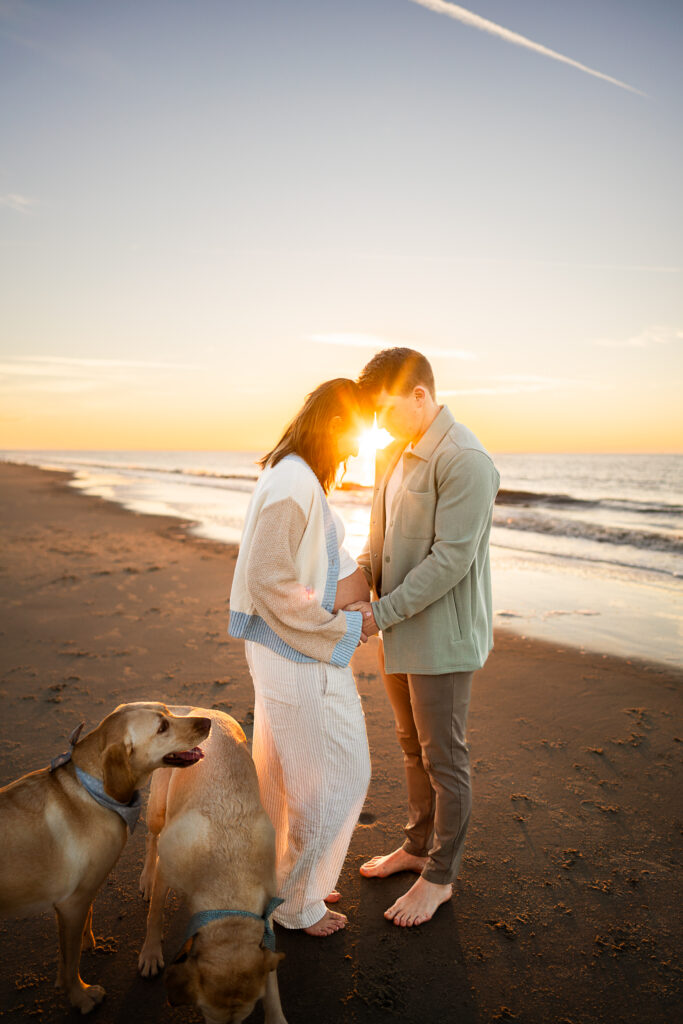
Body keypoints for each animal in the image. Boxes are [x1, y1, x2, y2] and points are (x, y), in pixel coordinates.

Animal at [0, 700, 210, 1011]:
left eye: (168, 711)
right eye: (162, 727)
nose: (208, 721)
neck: (91, 789)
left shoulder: (84, 893)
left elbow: (81, 931)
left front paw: (88, 941)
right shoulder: (71, 903)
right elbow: (69, 962)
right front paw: (81, 996)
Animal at [139, 708, 288, 1024]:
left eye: (242, 1020)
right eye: (207, 1017)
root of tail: (200, 711)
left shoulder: (266, 915)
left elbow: (270, 980)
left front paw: (275, 1016)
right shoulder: (166, 870)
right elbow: (155, 914)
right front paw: (150, 954)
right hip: (158, 809)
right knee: (151, 838)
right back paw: (145, 877)